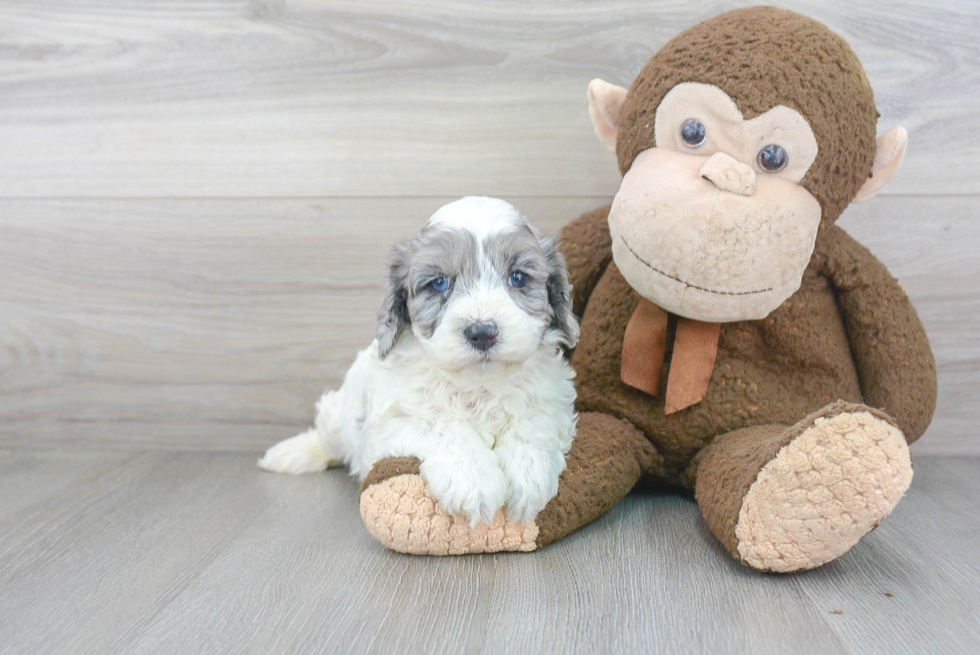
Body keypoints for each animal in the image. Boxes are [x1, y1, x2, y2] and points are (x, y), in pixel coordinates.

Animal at [260, 197, 580, 524]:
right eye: (439, 283)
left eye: (518, 277)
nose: (481, 333)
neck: (478, 386)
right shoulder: (393, 418)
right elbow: (440, 426)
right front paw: (473, 480)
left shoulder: (553, 399)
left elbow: (534, 423)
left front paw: (527, 472)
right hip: (339, 415)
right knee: (326, 438)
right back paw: (289, 454)